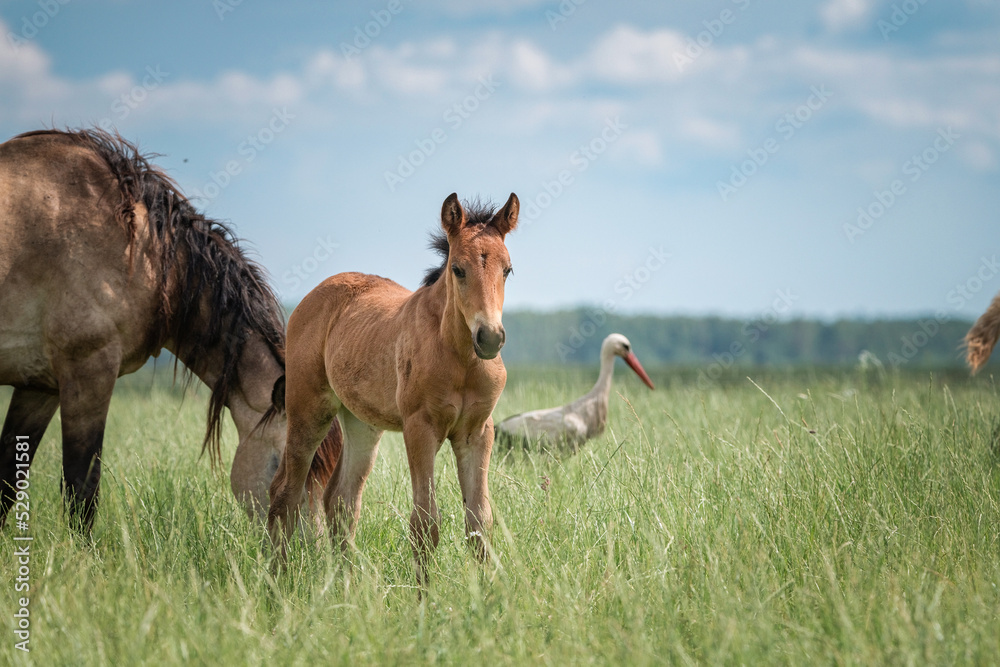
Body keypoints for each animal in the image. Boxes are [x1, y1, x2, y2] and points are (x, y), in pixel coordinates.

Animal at [0, 128, 339, 531]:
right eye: (278, 464)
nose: (308, 546)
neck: (142, 251)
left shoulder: (40, 386)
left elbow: (6, 482)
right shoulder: (88, 370)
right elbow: (82, 489)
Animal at [267, 193, 518, 583]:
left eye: (507, 270)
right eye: (457, 269)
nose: (489, 338)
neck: (460, 359)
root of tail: (312, 296)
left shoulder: (477, 432)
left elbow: (479, 522)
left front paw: (487, 592)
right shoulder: (420, 428)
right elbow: (425, 523)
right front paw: (424, 596)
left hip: (361, 423)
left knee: (341, 501)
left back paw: (347, 587)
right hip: (308, 410)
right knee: (285, 494)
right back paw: (276, 581)